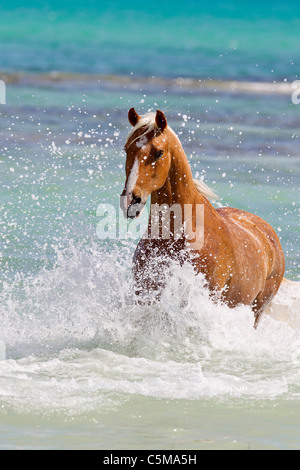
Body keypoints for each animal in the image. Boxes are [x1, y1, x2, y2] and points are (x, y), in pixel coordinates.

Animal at [120, 108, 284, 328]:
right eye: (126, 149)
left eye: (159, 152)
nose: (131, 200)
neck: (179, 234)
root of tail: (269, 234)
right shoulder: (145, 292)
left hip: (257, 310)